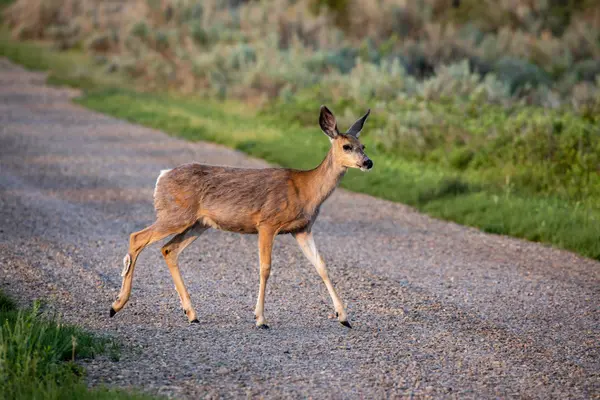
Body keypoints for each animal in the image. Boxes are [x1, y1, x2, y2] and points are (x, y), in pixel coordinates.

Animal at [108, 106, 370, 328]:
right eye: (347, 147)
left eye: (363, 145)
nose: (368, 162)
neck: (306, 190)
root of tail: (162, 177)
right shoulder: (267, 222)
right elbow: (265, 268)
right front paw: (260, 319)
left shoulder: (302, 229)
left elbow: (321, 266)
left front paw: (343, 317)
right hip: (176, 214)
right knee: (137, 237)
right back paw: (116, 305)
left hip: (198, 223)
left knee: (168, 249)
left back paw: (191, 313)